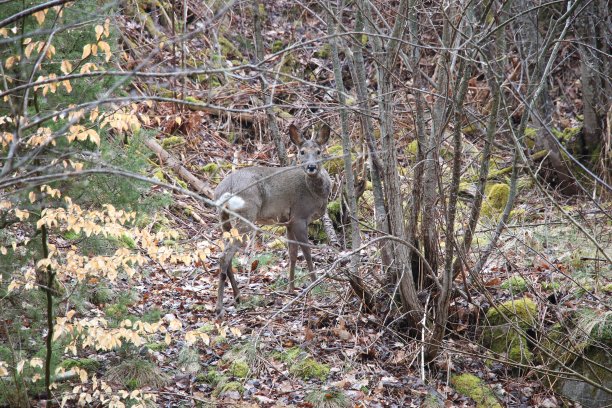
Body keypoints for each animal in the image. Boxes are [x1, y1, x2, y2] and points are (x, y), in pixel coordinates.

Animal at [214, 123, 332, 316]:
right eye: (302, 151)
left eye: (319, 151)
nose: (311, 167)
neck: (316, 193)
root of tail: (223, 190)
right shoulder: (299, 216)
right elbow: (306, 251)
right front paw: (315, 284)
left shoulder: (288, 221)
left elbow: (292, 253)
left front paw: (291, 289)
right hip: (246, 214)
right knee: (225, 256)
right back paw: (219, 307)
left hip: (224, 219)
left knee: (227, 255)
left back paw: (238, 298)